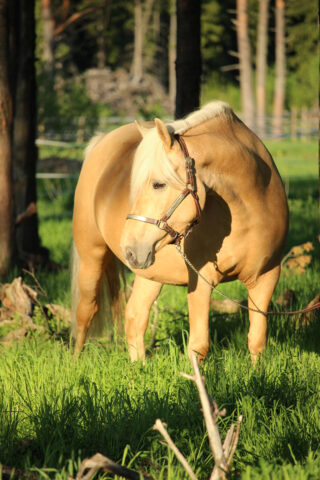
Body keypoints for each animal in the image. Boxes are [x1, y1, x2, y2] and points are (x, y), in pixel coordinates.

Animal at [72, 102, 288, 364]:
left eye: (158, 184)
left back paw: (139, 367)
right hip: (91, 257)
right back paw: (74, 363)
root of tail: (102, 140)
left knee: (135, 316)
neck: (251, 209)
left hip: (150, 272)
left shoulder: (266, 277)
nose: (128, 250)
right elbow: (198, 346)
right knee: (85, 312)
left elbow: (257, 342)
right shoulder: (201, 279)